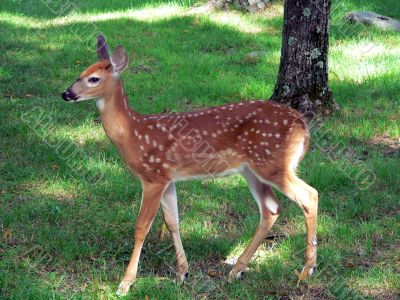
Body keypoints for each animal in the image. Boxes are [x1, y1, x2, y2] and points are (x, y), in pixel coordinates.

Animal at [61, 34, 318, 296]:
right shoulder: (168, 178)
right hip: (252, 170)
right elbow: (172, 221)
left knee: (309, 195)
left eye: (94, 78)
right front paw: (182, 273)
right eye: (80, 73)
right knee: (271, 208)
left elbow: (142, 226)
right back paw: (237, 270)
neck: (134, 134)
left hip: (274, 163)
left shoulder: (154, 175)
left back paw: (306, 270)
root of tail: (302, 125)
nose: (66, 93)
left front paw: (126, 283)